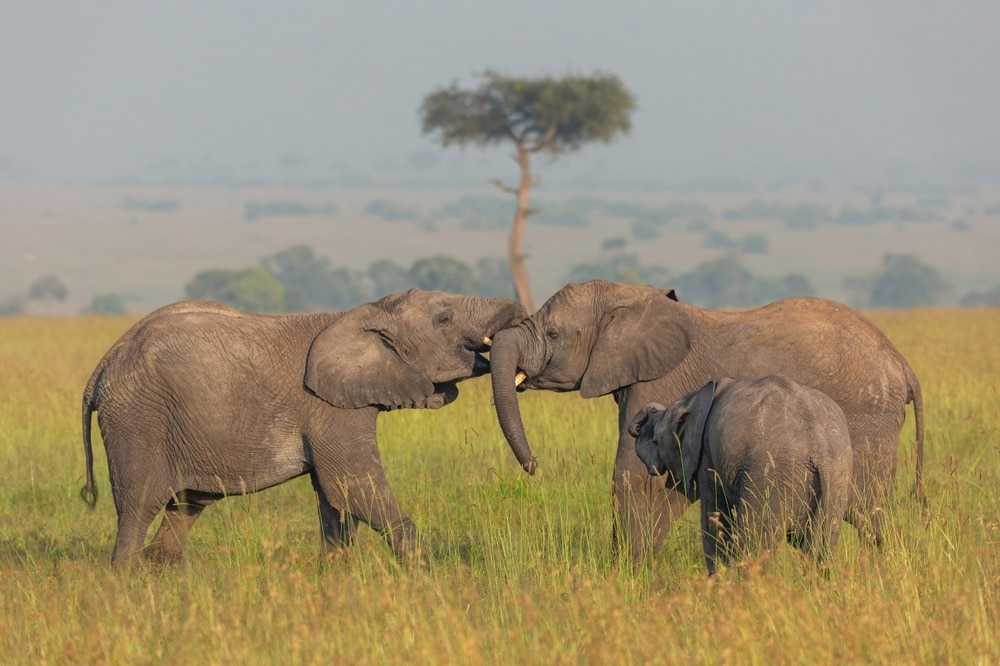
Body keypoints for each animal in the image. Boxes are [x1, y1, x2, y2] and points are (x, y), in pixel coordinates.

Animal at [80, 290, 526, 567]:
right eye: (444, 318)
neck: (365, 312)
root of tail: (103, 365)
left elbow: (334, 501)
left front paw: (335, 579)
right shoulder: (330, 408)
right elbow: (352, 485)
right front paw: (418, 578)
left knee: (186, 507)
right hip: (138, 421)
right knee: (138, 508)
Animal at [627, 375, 854, 575]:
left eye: (656, 441)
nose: (637, 427)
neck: (692, 398)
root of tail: (819, 447)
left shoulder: (707, 454)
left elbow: (714, 520)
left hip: (770, 477)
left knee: (756, 540)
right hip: (837, 478)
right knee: (822, 545)